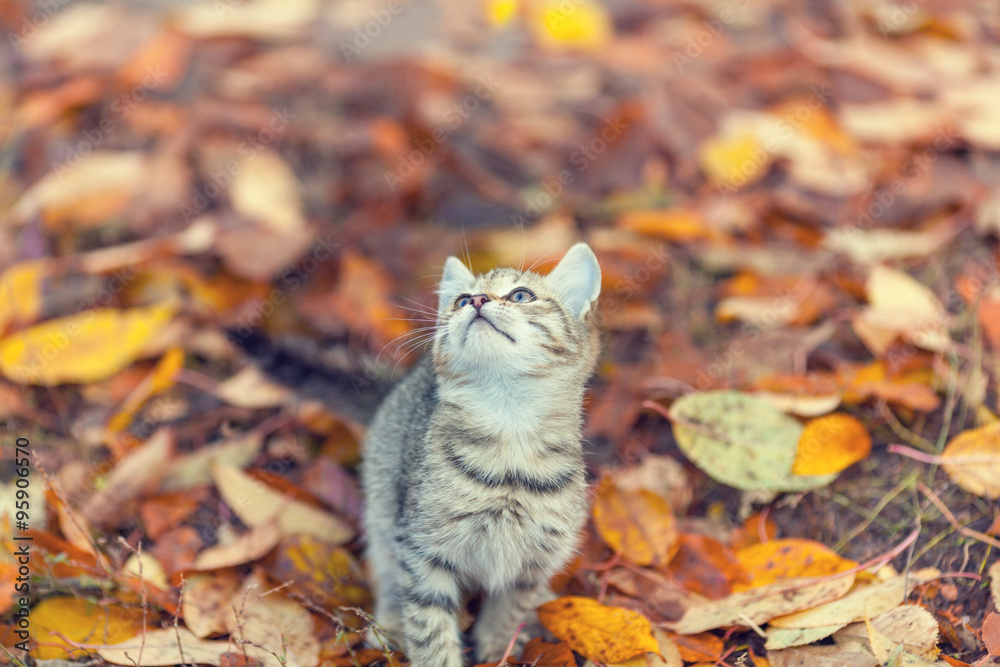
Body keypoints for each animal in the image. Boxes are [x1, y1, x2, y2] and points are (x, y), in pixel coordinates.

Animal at [362, 243, 600, 664]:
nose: (476, 300)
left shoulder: (531, 563)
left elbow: (508, 612)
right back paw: (388, 623)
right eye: (459, 300)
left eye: (521, 295)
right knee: (386, 571)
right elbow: (430, 629)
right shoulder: (421, 549)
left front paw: (497, 647)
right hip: (381, 506)